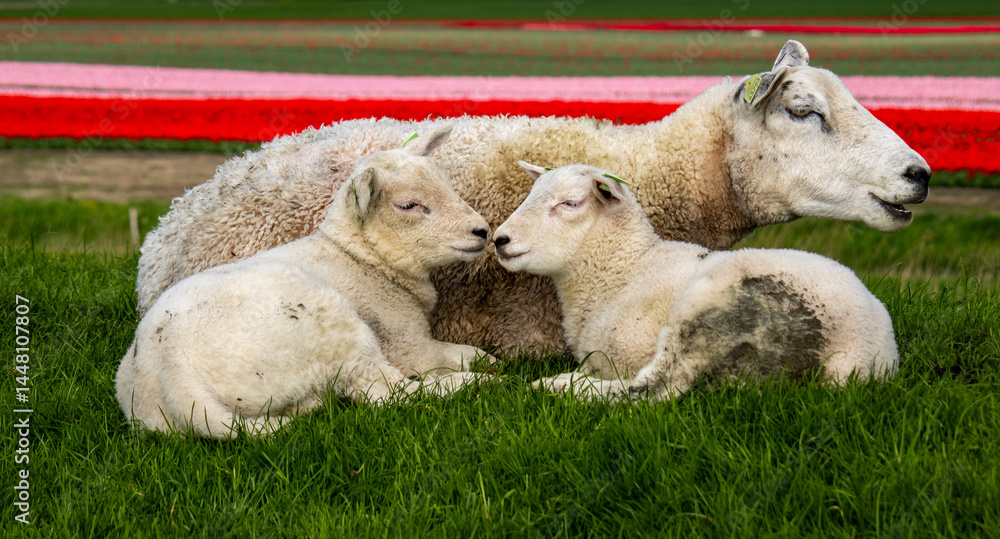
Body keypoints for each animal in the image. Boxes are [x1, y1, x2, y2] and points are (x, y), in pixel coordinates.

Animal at [115, 125, 494, 438]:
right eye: (408, 205)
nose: (482, 231)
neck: (360, 257)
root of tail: (173, 373)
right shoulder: (406, 343)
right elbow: (456, 356)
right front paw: (482, 366)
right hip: (331, 327)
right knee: (386, 392)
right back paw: (477, 384)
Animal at [493, 163, 898, 401]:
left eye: (571, 203)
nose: (500, 239)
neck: (623, 270)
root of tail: (855, 353)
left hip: (712, 310)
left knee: (658, 389)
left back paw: (559, 386)